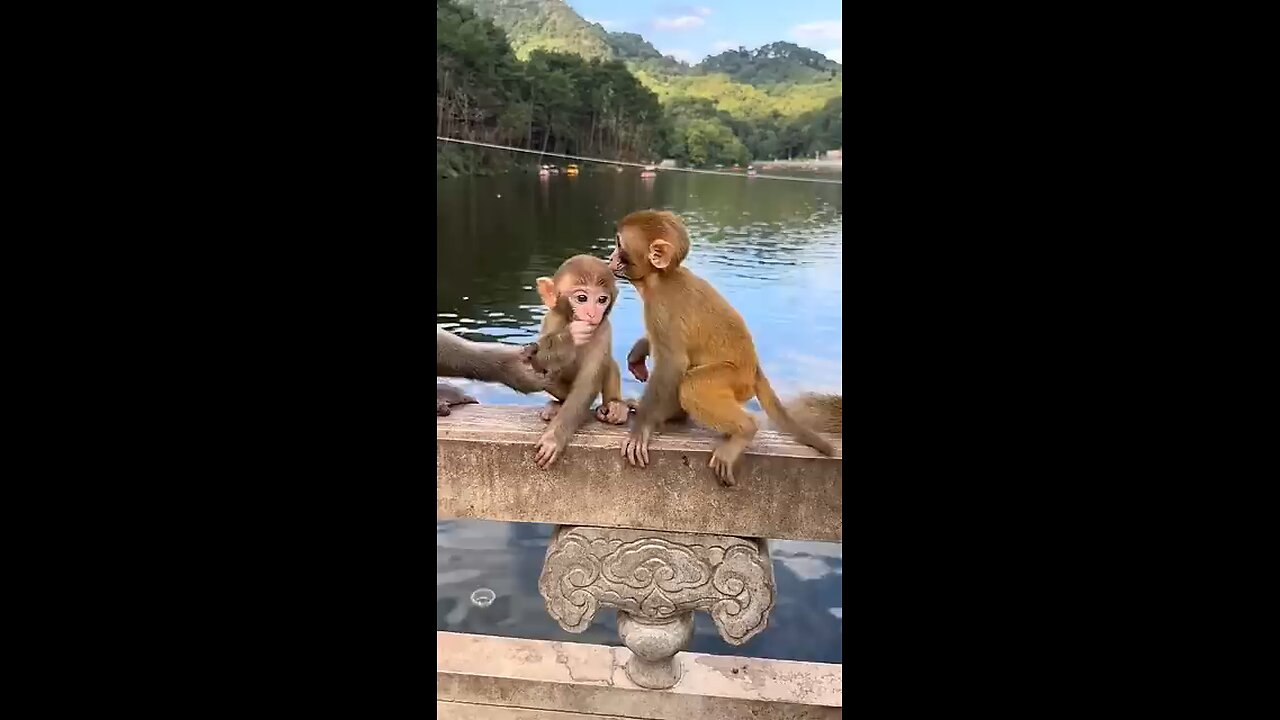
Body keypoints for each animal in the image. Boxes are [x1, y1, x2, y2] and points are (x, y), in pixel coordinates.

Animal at [518, 255, 631, 469]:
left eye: (601, 299)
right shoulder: (552, 319)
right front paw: (570, 336)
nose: (592, 314)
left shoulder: (603, 329)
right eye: (582, 298)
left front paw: (553, 439)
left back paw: (615, 406)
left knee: (608, 363)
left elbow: (587, 383)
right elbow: (534, 358)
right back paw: (556, 405)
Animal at [609, 209, 835, 486]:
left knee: (691, 385)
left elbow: (673, 363)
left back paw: (744, 430)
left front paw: (641, 428)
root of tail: (755, 370)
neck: (658, 279)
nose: (610, 257)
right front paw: (639, 352)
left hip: (735, 380)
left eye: (619, 244)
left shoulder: (659, 307)